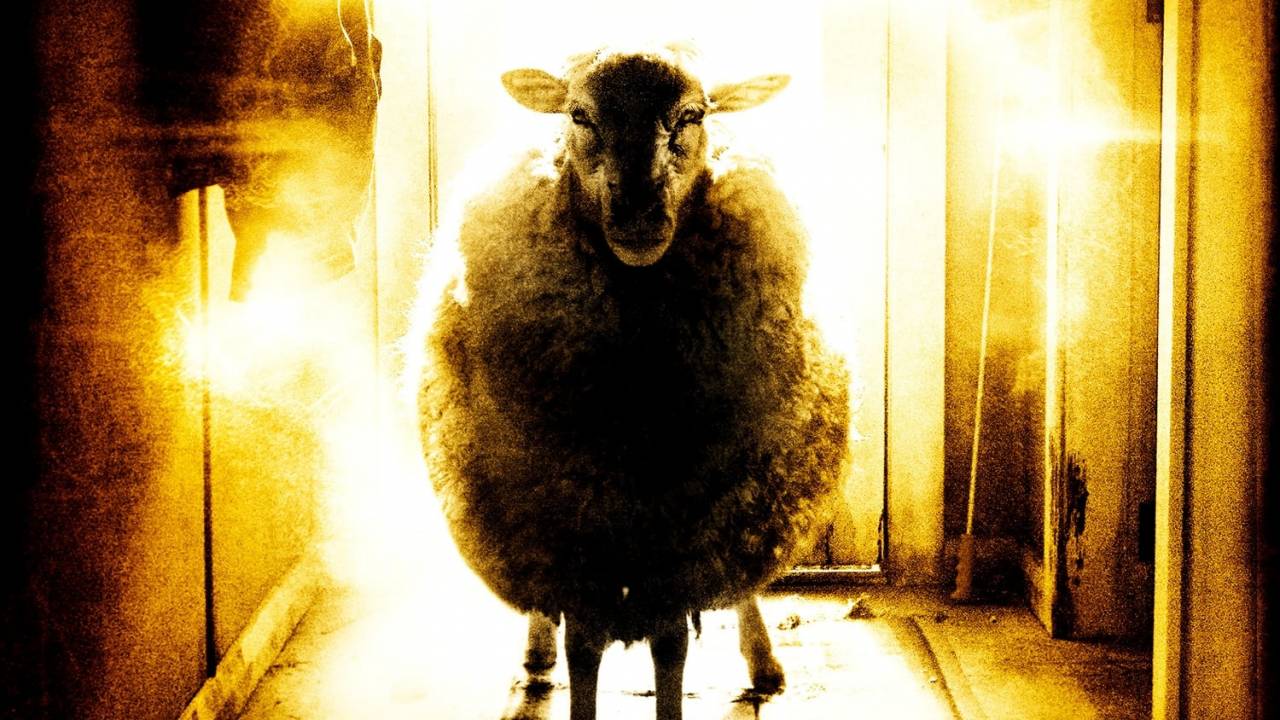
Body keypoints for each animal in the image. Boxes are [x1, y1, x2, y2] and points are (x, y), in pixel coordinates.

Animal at [417, 44, 851, 720]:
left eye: (693, 115)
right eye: (578, 114)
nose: (638, 213)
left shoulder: (680, 542)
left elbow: (671, 649)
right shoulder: (575, 541)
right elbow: (583, 650)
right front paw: (561, 665)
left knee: (741, 588)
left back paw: (764, 662)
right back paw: (535, 653)